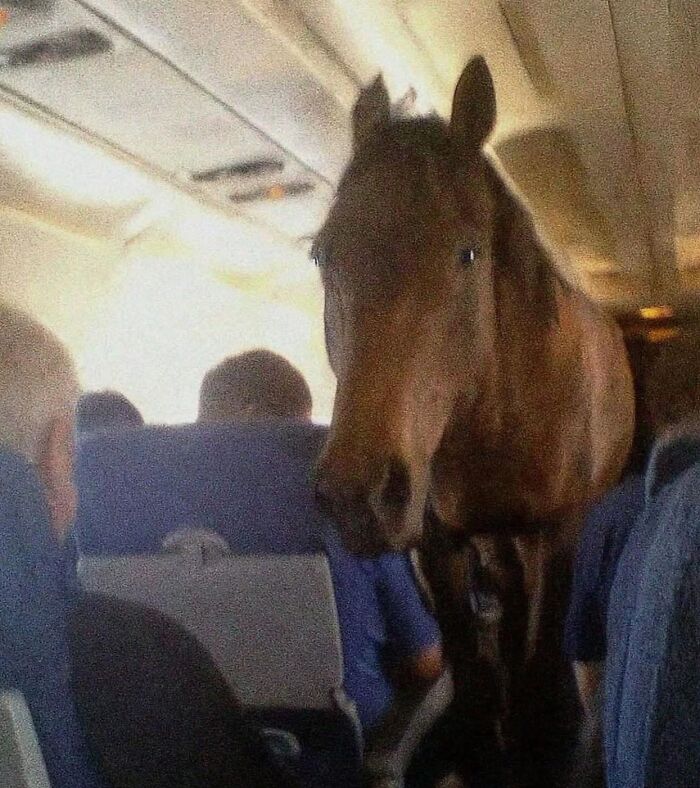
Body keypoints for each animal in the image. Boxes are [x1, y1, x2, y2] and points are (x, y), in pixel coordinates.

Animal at [313, 56, 634, 786]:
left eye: (468, 254)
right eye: (322, 255)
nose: (357, 495)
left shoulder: (557, 536)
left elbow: (542, 659)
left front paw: (537, 733)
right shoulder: (440, 547)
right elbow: (471, 675)